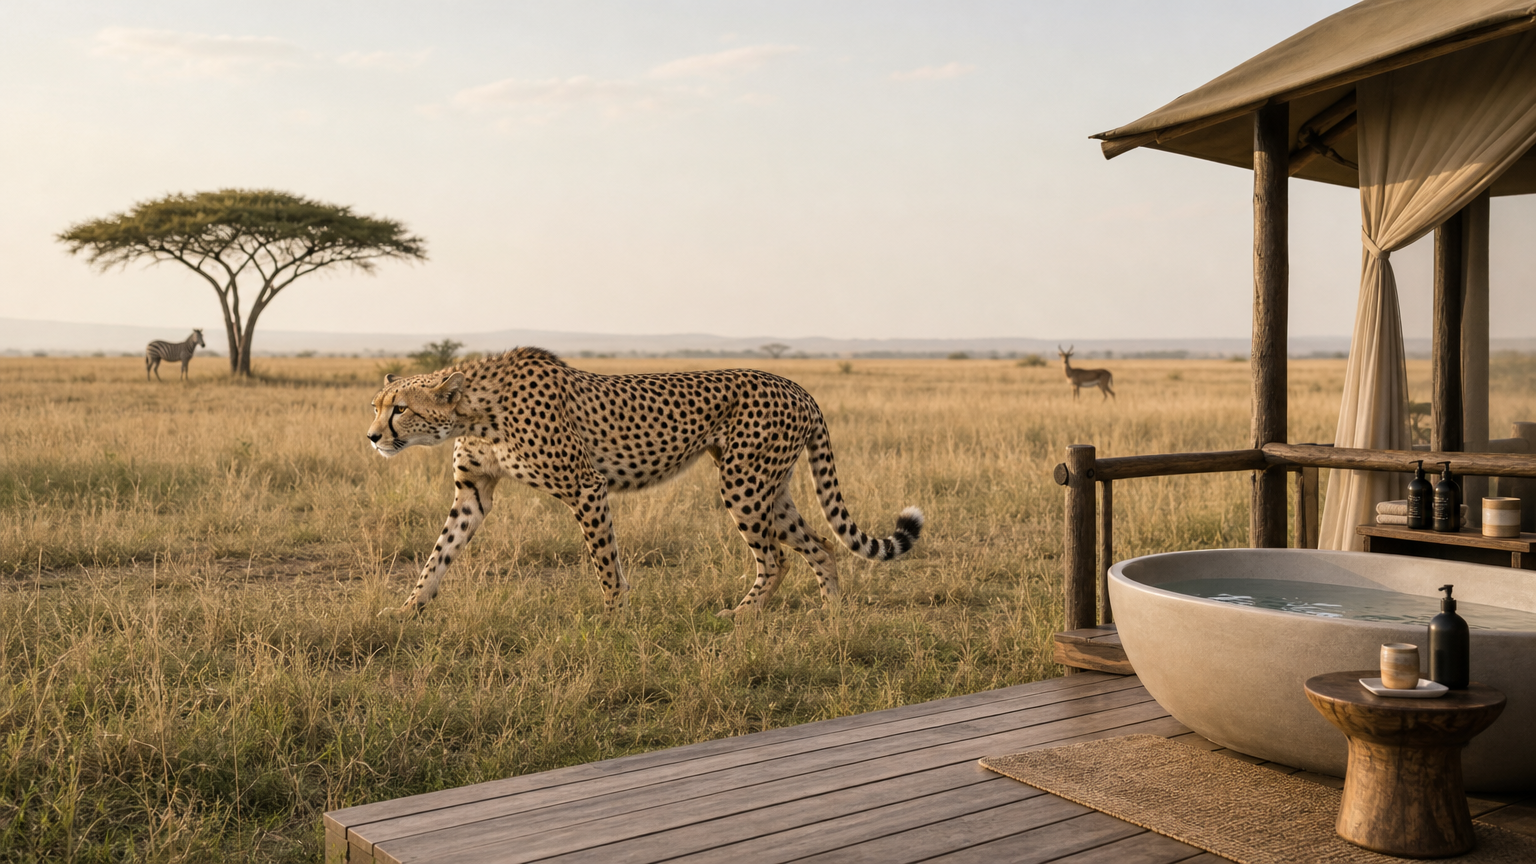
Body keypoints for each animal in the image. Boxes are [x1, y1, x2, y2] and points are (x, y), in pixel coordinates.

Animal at [366, 347, 924, 617]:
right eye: (375, 405)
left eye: (400, 409)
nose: (372, 437)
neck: (476, 411)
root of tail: (796, 384)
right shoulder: (473, 493)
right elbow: (439, 554)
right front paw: (407, 610)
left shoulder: (586, 487)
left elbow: (605, 562)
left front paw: (614, 617)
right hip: (770, 486)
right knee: (820, 547)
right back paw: (832, 617)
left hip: (743, 482)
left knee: (777, 557)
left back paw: (740, 617)